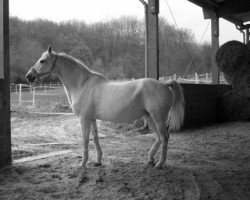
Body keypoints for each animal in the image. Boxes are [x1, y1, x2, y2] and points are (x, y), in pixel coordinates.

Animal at [26, 46, 185, 170]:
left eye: (42, 61)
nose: (29, 76)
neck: (82, 84)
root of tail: (164, 84)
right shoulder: (92, 119)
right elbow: (95, 138)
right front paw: (97, 161)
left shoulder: (84, 119)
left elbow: (85, 139)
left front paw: (82, 164)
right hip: (149, 117)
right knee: (159, 137)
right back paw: (150, 159)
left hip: (158, 118)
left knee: (164, 137)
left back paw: (159, 163)